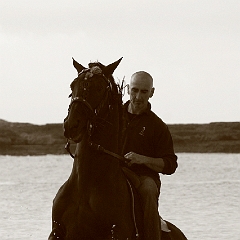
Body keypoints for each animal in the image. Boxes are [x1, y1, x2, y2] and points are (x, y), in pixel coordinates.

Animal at [48, 58, 188, 240]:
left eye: (99, 88)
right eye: (73, 85)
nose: (72, 125)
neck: (85, 189)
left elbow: (170, 160)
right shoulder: (57, 232)